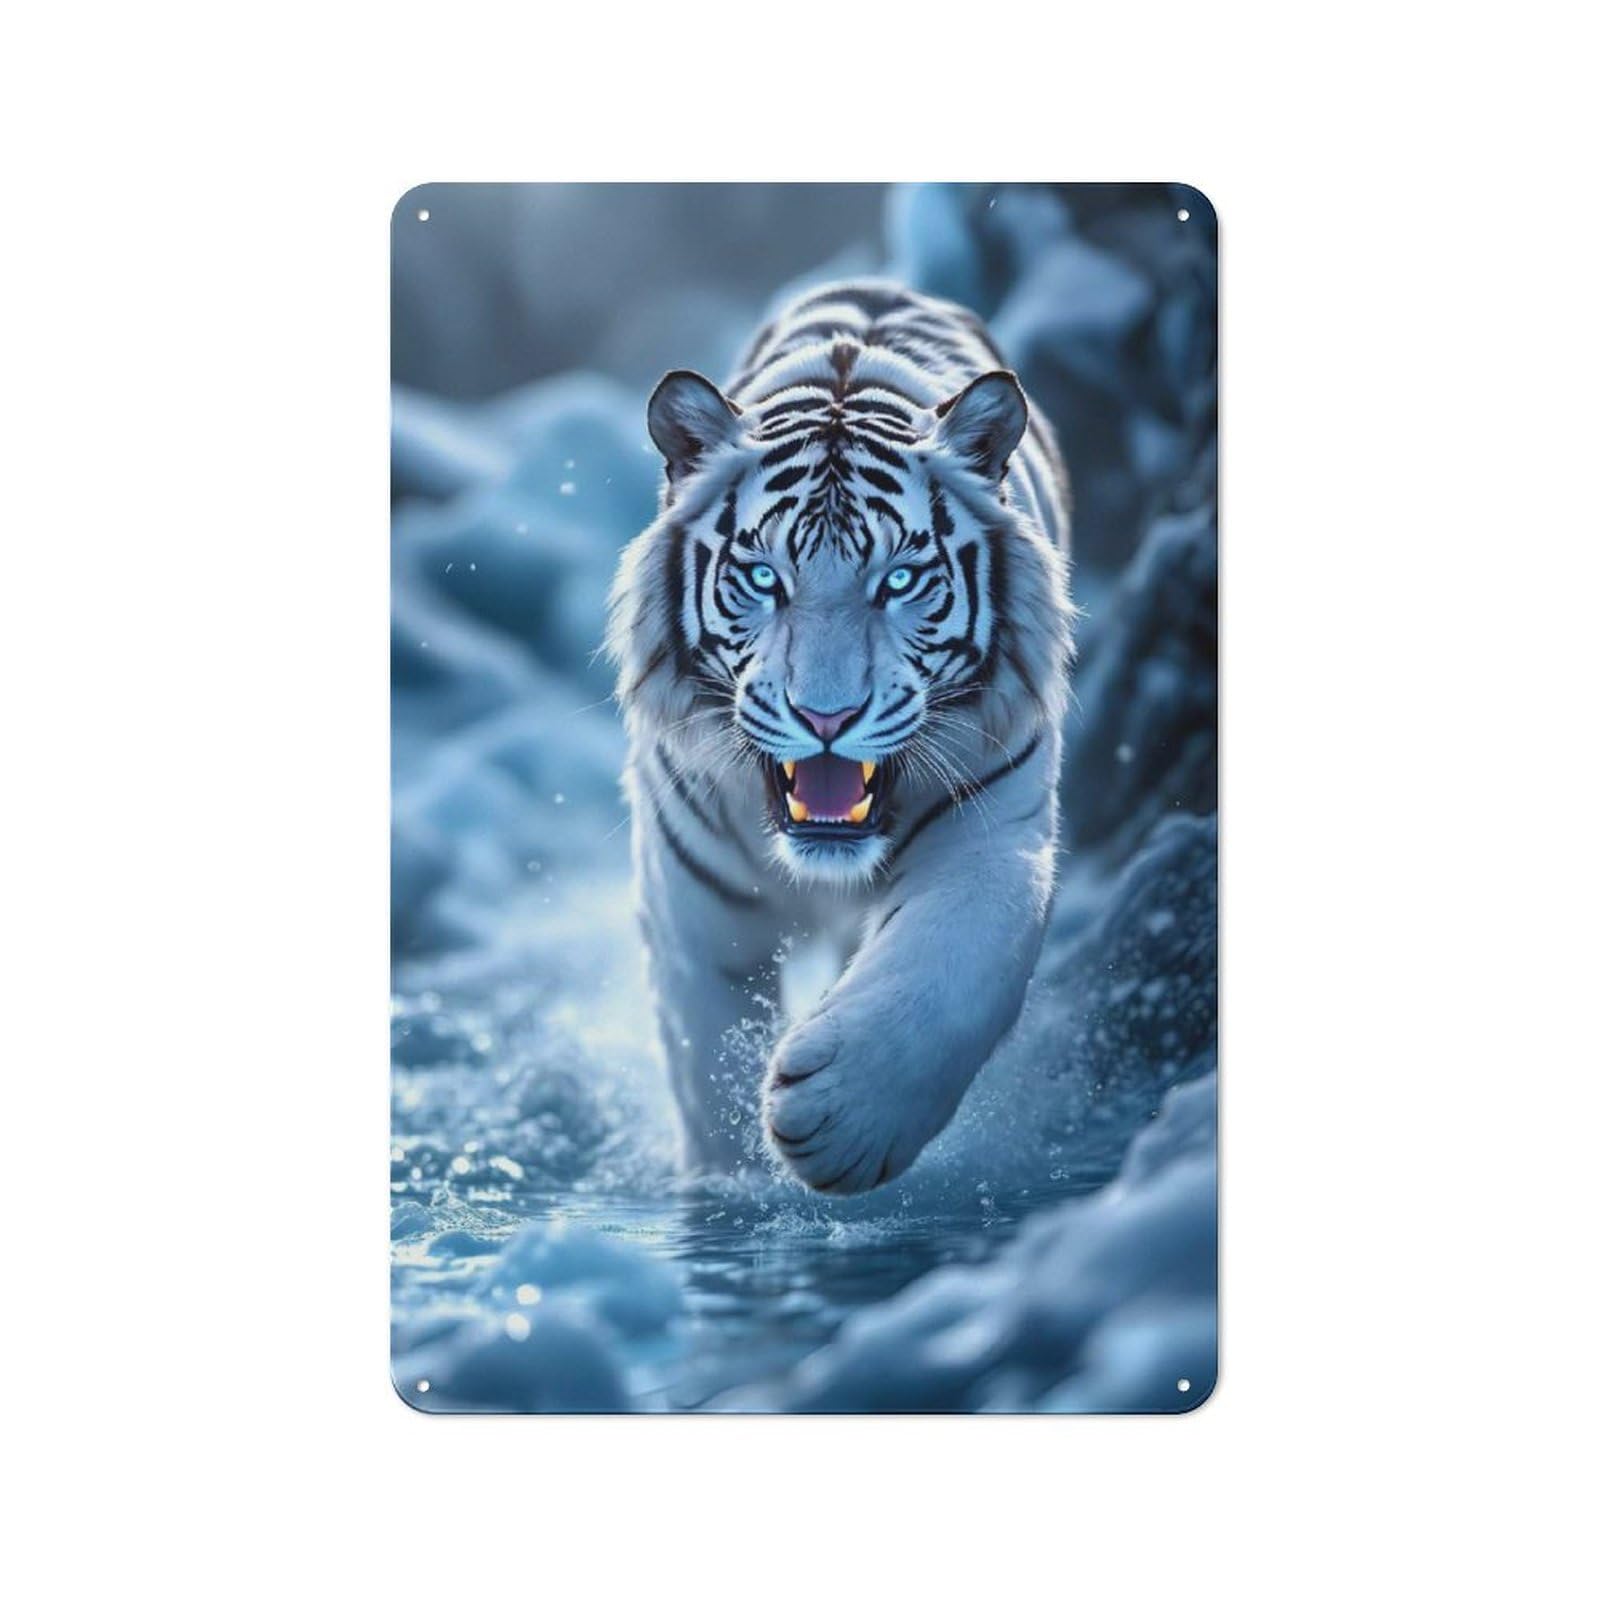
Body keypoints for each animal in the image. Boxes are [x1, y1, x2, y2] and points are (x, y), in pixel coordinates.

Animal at [606, 280, 1074, 1194]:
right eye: (762, 578)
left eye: (900, 580)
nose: (827, 717)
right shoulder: (693, 907)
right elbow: (706, 1066)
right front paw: (731, 1188)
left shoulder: (996, 831)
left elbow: (956, 962)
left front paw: (842, 1120)